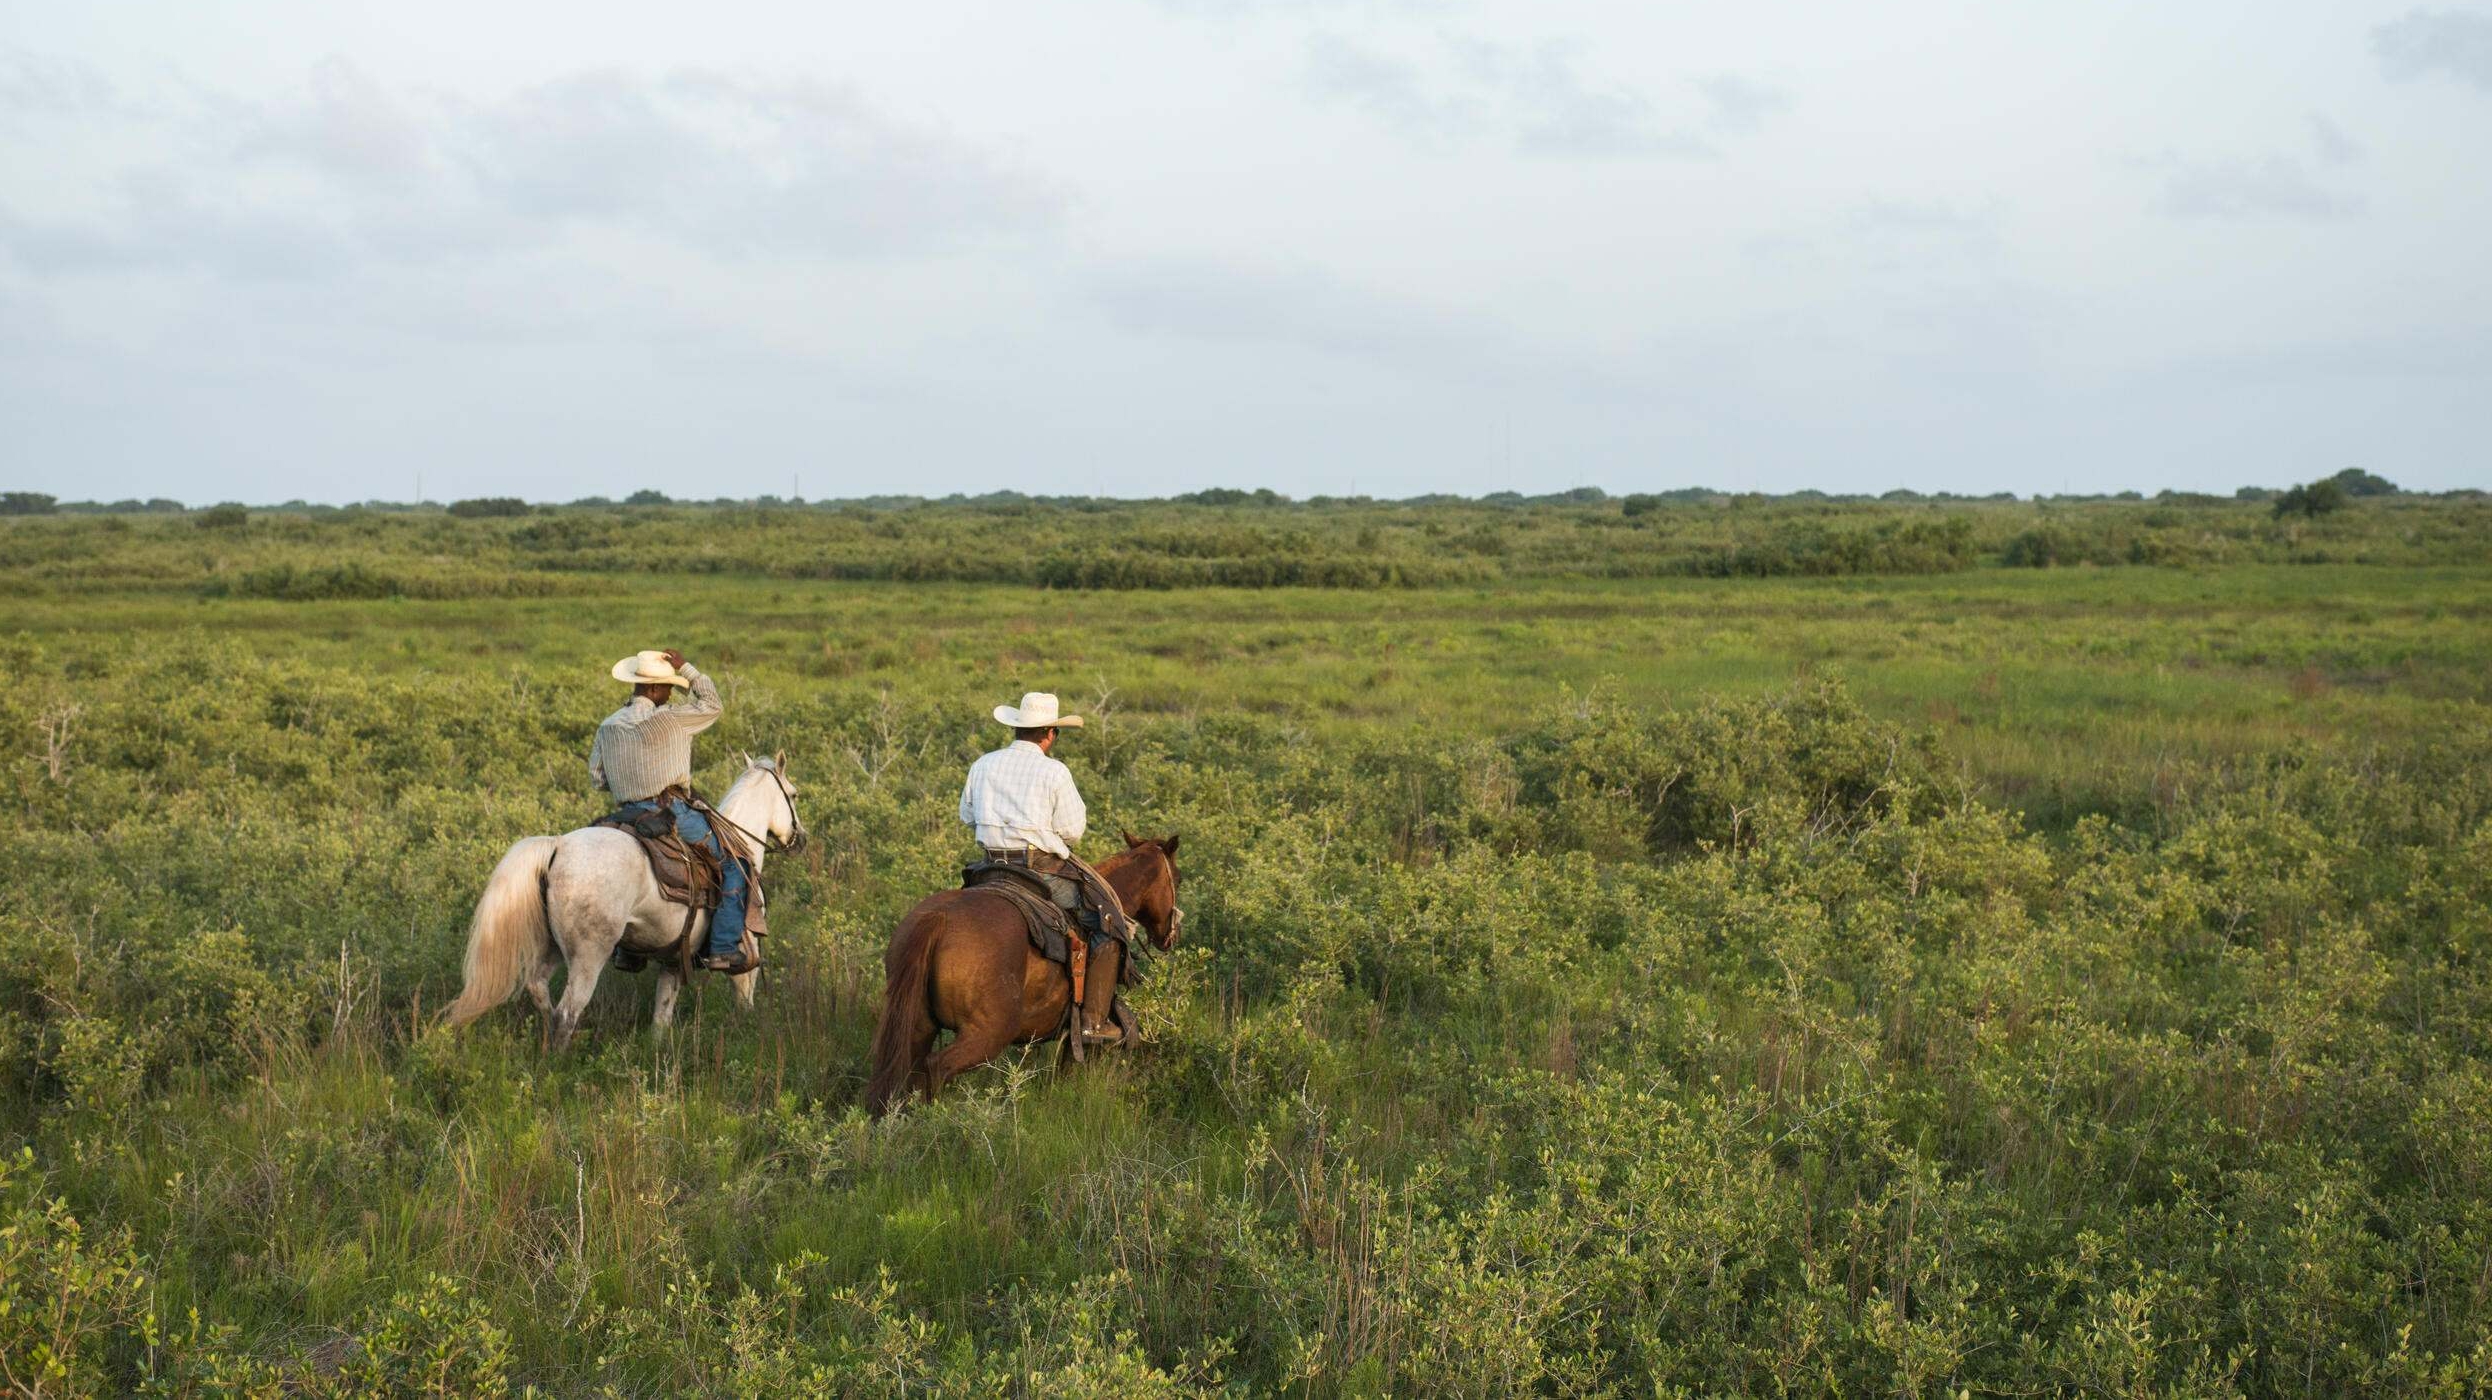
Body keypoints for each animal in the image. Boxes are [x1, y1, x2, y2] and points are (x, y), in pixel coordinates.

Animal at [442, 755, 806, 1049]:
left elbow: (661, 1016)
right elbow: (744, 999)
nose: (800, 840)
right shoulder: (748, 952)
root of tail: (558, 846)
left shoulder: (674, 960)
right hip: (589, 955)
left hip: (552, 947)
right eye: (793, 794)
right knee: (566, 1013)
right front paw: (746, 1034)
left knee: (539, 991)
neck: (741, 842)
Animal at [864, 833, 1184, 1116]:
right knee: (936, 1068)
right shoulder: (1080, 1039)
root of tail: (938, 918)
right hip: (987, 1034)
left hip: (919, 1023)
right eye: (1178, 879)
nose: (1171, 935)